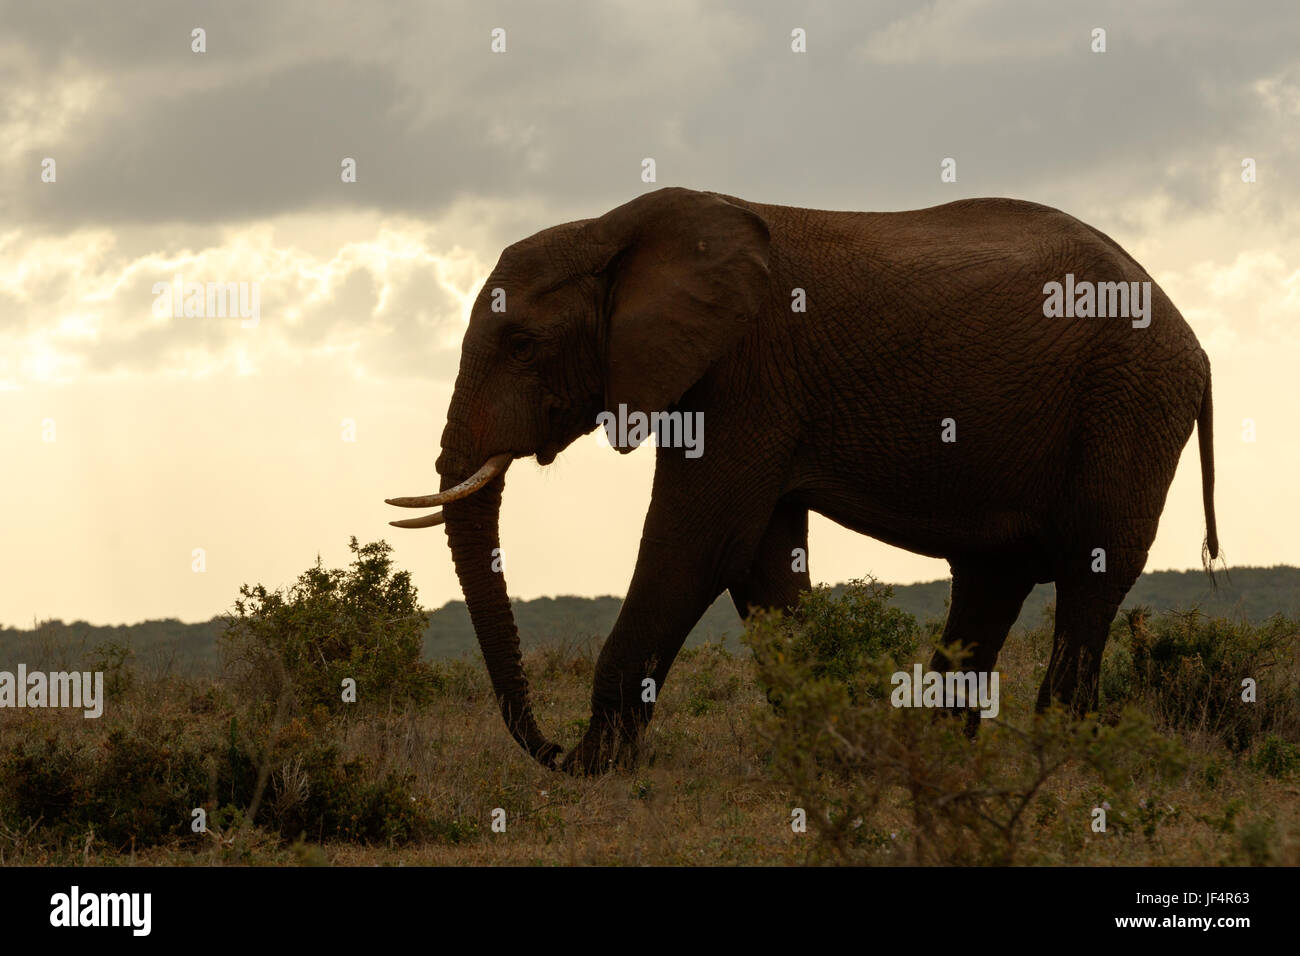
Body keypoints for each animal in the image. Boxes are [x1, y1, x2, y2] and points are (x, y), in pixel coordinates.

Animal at [384, 187, 1216, 780]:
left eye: (522, 342)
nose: (551, 751)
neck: (613, 227)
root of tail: (1196, 343)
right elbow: (761, 562)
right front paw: (830, 753)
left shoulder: (744, 373)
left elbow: (700, 545)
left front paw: (597, 771)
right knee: (991, 581)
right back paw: (942, 756)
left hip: (1128, 405)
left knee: (1088, 575)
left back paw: (1061, 759)